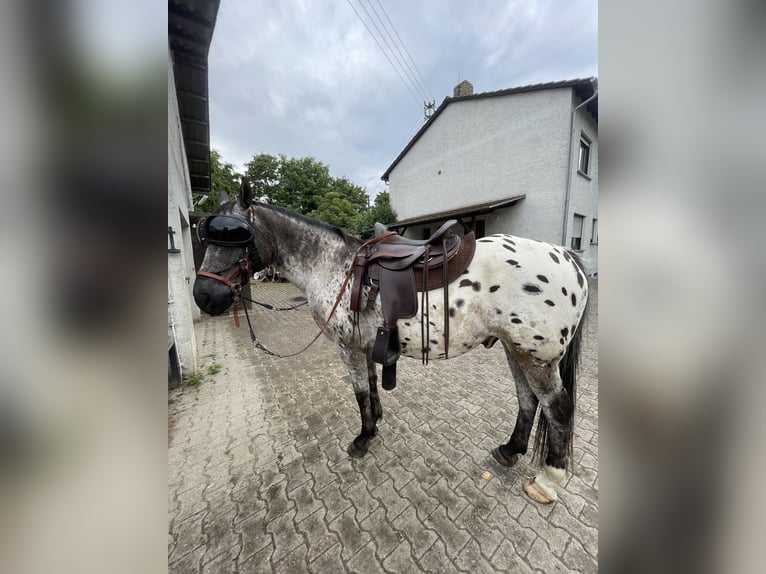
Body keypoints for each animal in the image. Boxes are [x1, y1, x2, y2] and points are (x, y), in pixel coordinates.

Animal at [193, 179, 589, 504]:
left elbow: (359, 394)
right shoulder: (365, 346)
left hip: (537, 357)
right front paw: (377, 420)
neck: (331, 265)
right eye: (206, 236)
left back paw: (548, 481)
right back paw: (510, 449)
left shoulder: (348, 348)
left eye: (238, 234)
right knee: (528, 400)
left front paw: (363, 438)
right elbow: (371, 385)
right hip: (515, 349)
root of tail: (569, 258)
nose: (205, 296)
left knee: (557, 408)